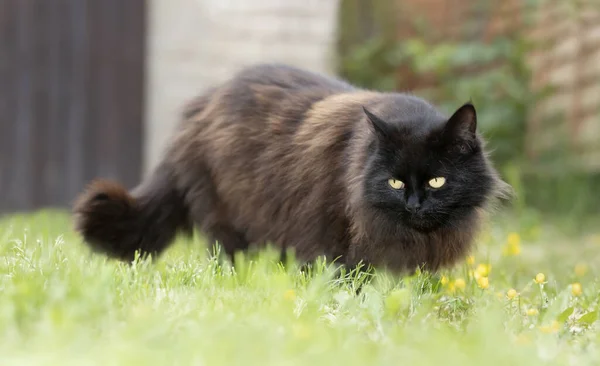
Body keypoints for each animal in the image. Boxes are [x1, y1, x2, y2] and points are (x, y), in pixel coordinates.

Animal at [71, 63, 510, 274]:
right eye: (395, 182)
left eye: (437, 180)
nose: (415, 204)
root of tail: (201, 105)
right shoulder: (333, 238)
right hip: (228, 218)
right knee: (226, 256)